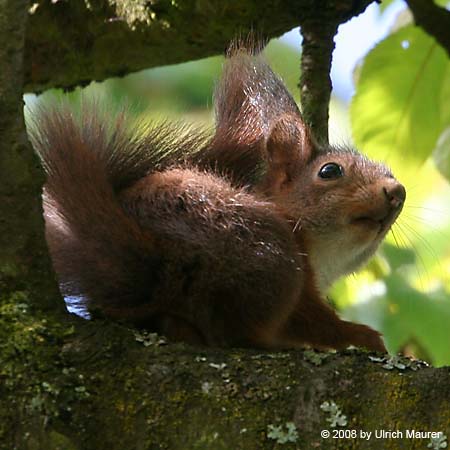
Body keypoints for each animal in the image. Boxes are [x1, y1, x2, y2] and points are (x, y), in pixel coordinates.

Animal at [29, 43, 406, 352]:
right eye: (329, 171)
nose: (397, 192)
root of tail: (150, 261)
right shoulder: (301, 286)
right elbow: (313, 320)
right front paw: (359, 335)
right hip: (271, 256)